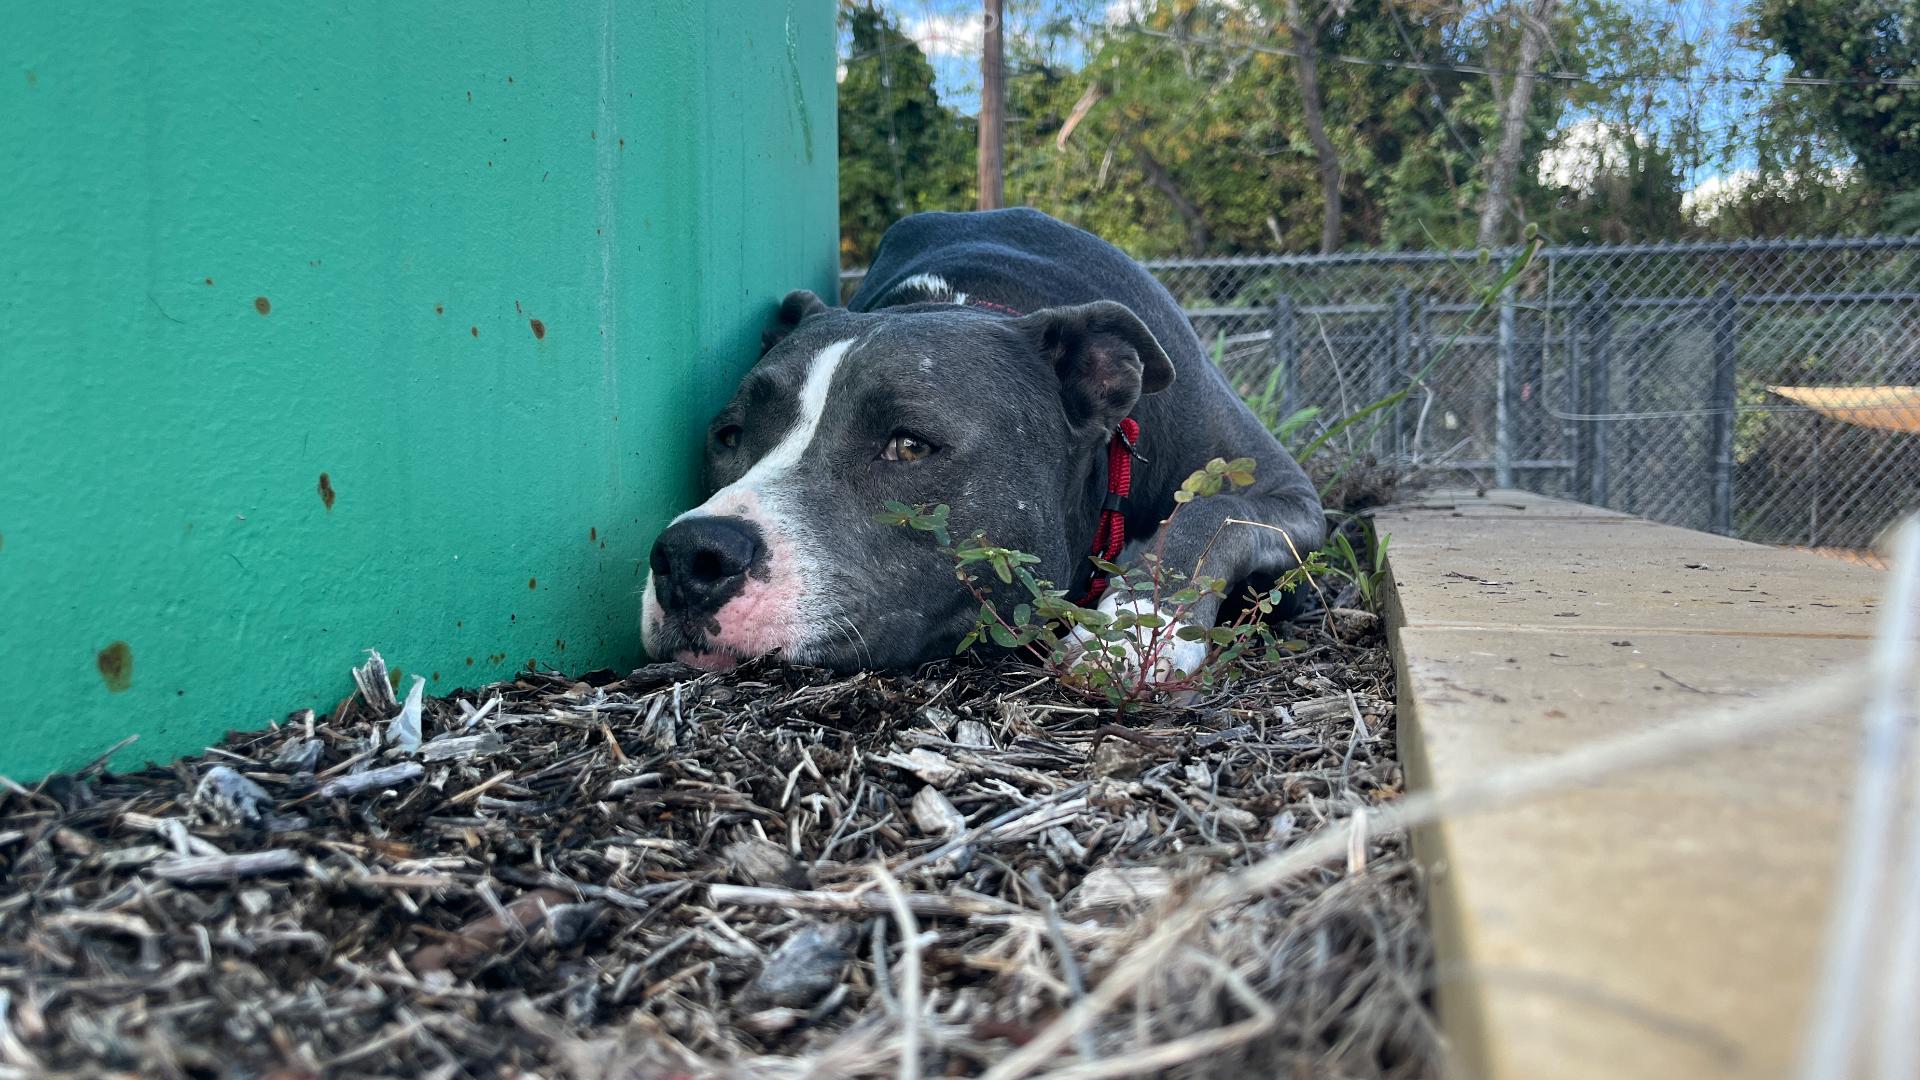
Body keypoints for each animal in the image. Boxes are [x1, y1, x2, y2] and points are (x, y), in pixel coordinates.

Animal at [641, 205, 1320, 668]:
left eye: (909, 445)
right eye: (729, 436)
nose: (691, 555)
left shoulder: (1292, 494)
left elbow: (1211, 513)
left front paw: (1138, 625)